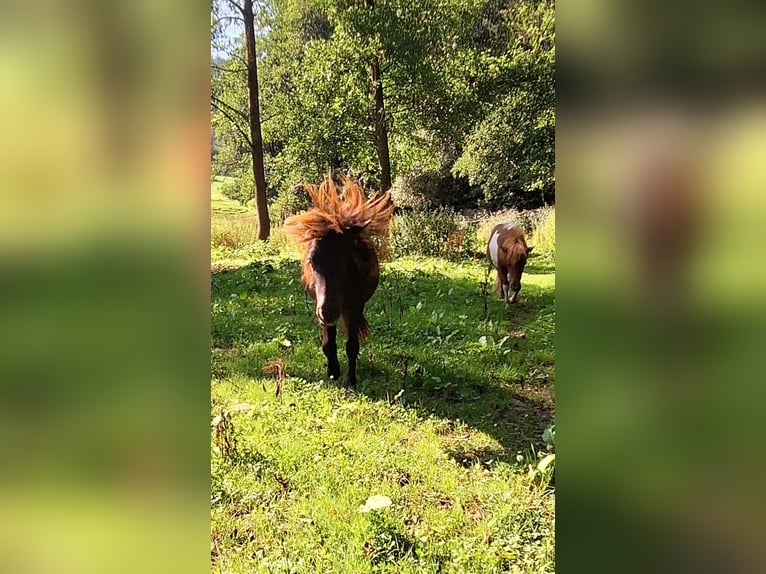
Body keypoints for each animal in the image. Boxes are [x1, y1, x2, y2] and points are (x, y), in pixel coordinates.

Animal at [284, 176, 396, 392]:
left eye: (346, 261)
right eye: (312, 261)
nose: (328, 312)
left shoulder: (354, 306)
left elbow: (352, 345)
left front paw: (350, 381)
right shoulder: (320, 306)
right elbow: (328, 343)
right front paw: (333, 372)